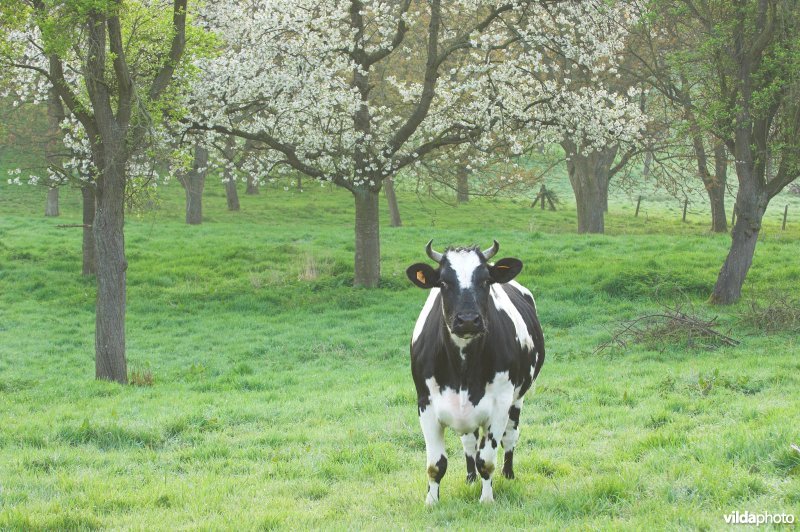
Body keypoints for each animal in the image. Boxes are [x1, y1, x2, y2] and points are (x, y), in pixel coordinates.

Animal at [406, 239, 544, 504]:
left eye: (485, 281)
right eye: (444, 282)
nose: (468, 320)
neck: (462, 366)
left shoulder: (499, 404)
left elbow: (487, 460)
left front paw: (487, 499)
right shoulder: (425, 403)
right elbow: (435, 464)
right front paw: (431, 502)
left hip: (517, 399)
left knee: (510, 436)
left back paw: (508, 475)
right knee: (469, 443)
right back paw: (470, 478)